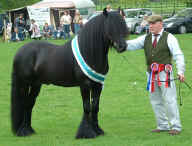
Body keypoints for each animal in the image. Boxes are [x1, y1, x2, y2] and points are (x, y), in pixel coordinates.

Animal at [10, 8, 127, 139]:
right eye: (110, 27)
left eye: (123, 25)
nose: (122, 47)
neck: (89, 51)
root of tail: (20, 51)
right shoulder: (85, 85)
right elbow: (87, 107)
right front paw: (87, 133)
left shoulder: (98, 85)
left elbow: (95, 107)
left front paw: (98, 130)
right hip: (24, 84)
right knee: (24, 103)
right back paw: (23, 131)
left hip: (36, 84)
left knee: (29, 104)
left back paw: (29, 130)